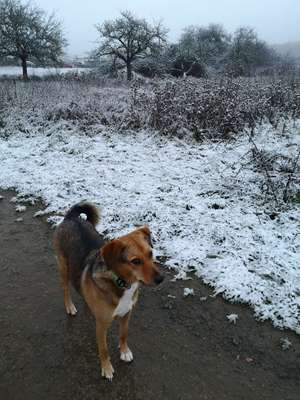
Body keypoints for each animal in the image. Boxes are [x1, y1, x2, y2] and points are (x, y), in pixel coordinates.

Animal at [52, 202, 164, 380]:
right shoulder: (102, 325)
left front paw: (124, 352)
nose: (161, 278)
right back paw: (70, 306)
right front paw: (107, 369)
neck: (122, 283)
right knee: (65, 290)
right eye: (136, 261)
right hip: (64, 268)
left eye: (151, 253)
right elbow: (103, 350)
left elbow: (124, 334)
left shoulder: (127, 314)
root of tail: (71, 217)